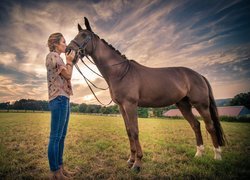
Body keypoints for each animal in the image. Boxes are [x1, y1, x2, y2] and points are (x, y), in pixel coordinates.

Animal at [66, 17, 227, 173]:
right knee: (196, 125)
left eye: (85, 36)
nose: (68, 50)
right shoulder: (122, 107)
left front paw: (137, 164)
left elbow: (135, 131)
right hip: (184, 105)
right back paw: (199, 154)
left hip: (201, 105)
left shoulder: (130, 105)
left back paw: (217, 156)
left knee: (210, 126)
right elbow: (129, 131)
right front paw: (130, 160)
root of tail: (199, 75)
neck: (120, 72)